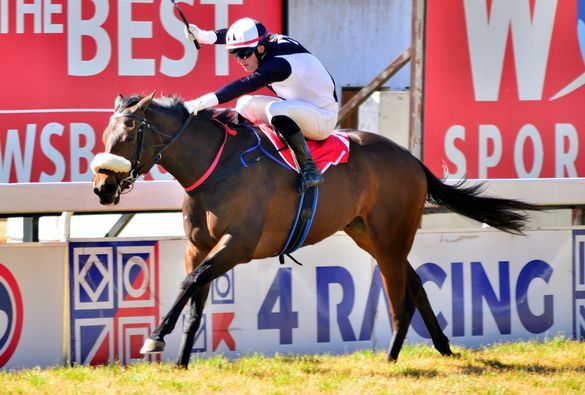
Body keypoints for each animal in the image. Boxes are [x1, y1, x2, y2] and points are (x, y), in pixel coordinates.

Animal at [92, 93, 544, 368]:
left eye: (127, 136)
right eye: (106, 134)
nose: (102, 187)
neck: (217, 166)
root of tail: (412, 160)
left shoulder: (238, 245)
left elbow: (191, 283)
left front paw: (154, 339)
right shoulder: (198, 246)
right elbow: (195, 301)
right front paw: (182, 362)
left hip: (389, 238)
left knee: (400, 297)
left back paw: (392, 359)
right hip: (370, 235)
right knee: (415, 285)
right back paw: (445, 348)